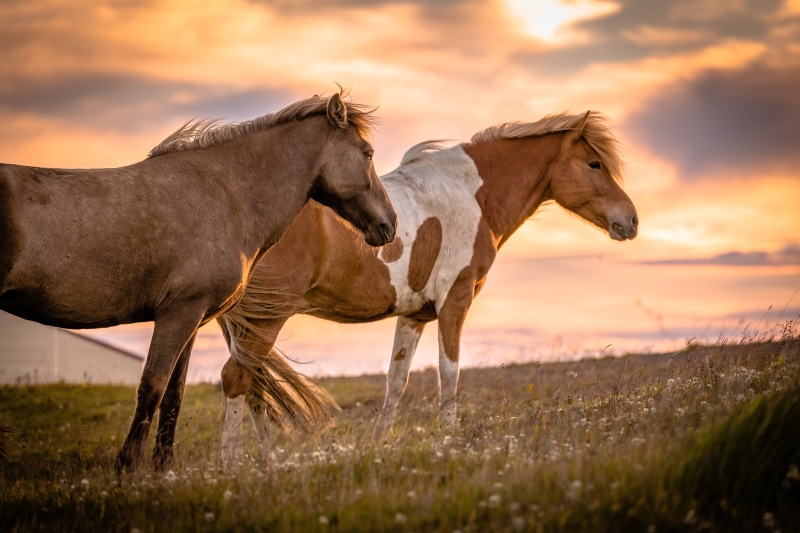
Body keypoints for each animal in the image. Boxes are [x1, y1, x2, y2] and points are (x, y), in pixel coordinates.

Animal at [0, 89, 397, 471]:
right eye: (367, 153)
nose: (389, 225)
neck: (225, 195)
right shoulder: (178, 314)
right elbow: (152, 387)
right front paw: (128, 467)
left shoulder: (190, 319)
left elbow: (174, 393)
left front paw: (163, 468)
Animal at [215, 110, 638, 462]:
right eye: (594, 163)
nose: (631, 220)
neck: (474, 197)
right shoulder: (455, 301)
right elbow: (449, 372)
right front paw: (449, 437)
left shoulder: (414, 315)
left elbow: (396, 380)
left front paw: (379, 442)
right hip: (268, 318)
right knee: (237, 378)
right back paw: (232, 463)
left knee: (254, 384)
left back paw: (270, 459)